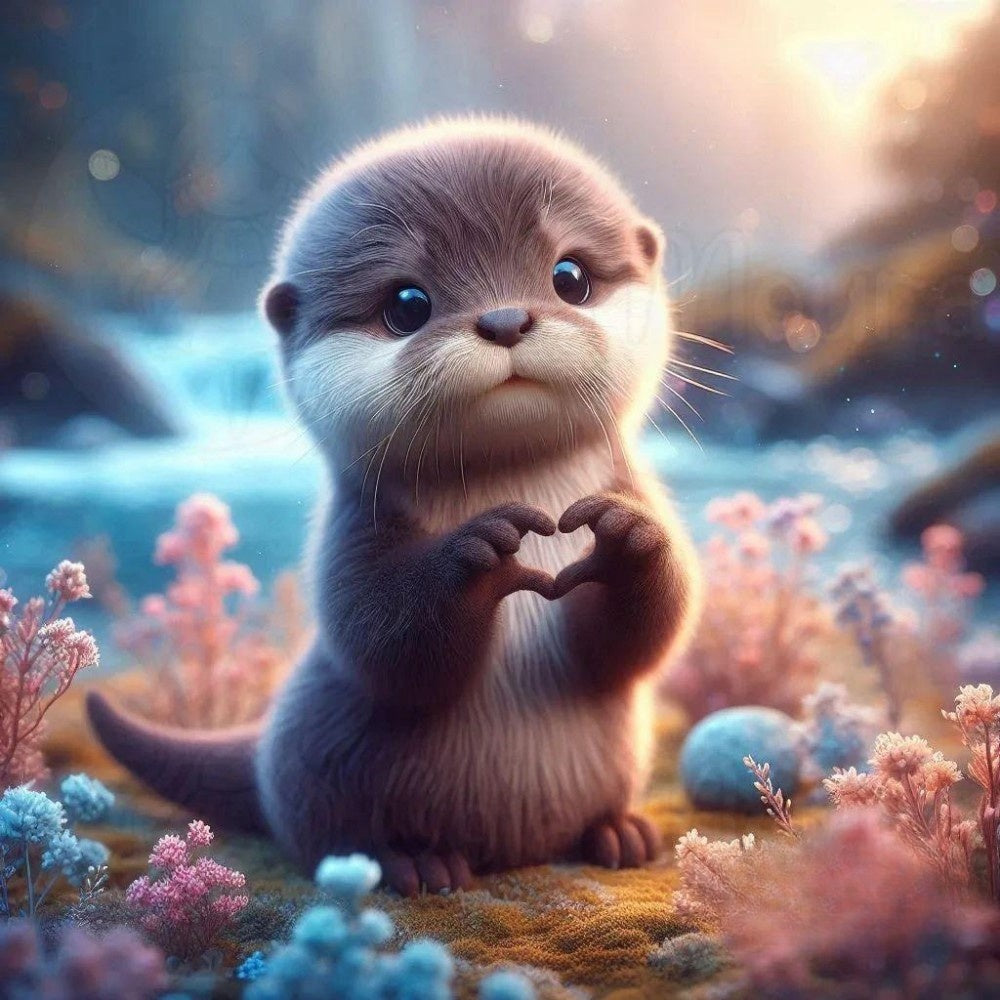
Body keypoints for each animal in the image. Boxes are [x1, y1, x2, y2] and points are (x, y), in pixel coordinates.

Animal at [87, 118, 700, 896]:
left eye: (571, 277)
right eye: (407, 305)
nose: (505, 318)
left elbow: (640, 640)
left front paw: (627, 542)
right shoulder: (353, 530)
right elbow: (382, 641)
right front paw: (478, 553)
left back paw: (618, 833)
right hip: (320, 762)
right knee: (329, 835)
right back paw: (414, 861)